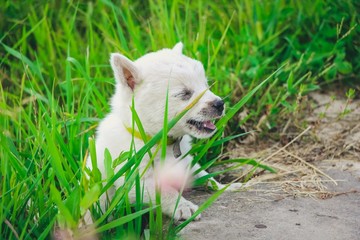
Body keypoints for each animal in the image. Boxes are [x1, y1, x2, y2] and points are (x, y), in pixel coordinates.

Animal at [87, 42, 240, 222]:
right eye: (185, 94)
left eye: (205, 84)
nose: (220, 104)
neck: (154, 139)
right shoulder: (135, 180)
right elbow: (166, 192)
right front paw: (183, 206)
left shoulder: (184, 161)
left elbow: (204, 174)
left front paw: (226, 186)